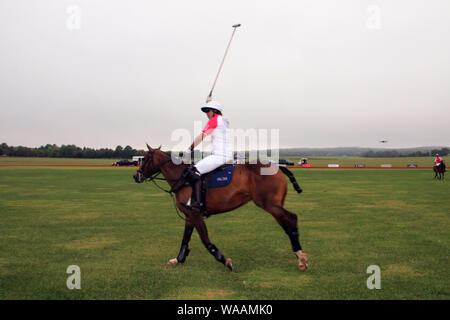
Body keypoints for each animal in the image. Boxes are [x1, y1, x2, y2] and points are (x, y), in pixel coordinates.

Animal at [134, 145, 310, 272]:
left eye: (145, 159)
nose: (136, 176)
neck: (183, 179)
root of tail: (279, 167)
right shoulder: (189, 215)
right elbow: (185, 238)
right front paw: (178, 259)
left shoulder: (196, 214)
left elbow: (205, 240)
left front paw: (226, 261)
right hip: (274, 204)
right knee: (288, 222)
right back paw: (300, 257)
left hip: (269, 204)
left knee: (291, 219)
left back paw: (301, 258)